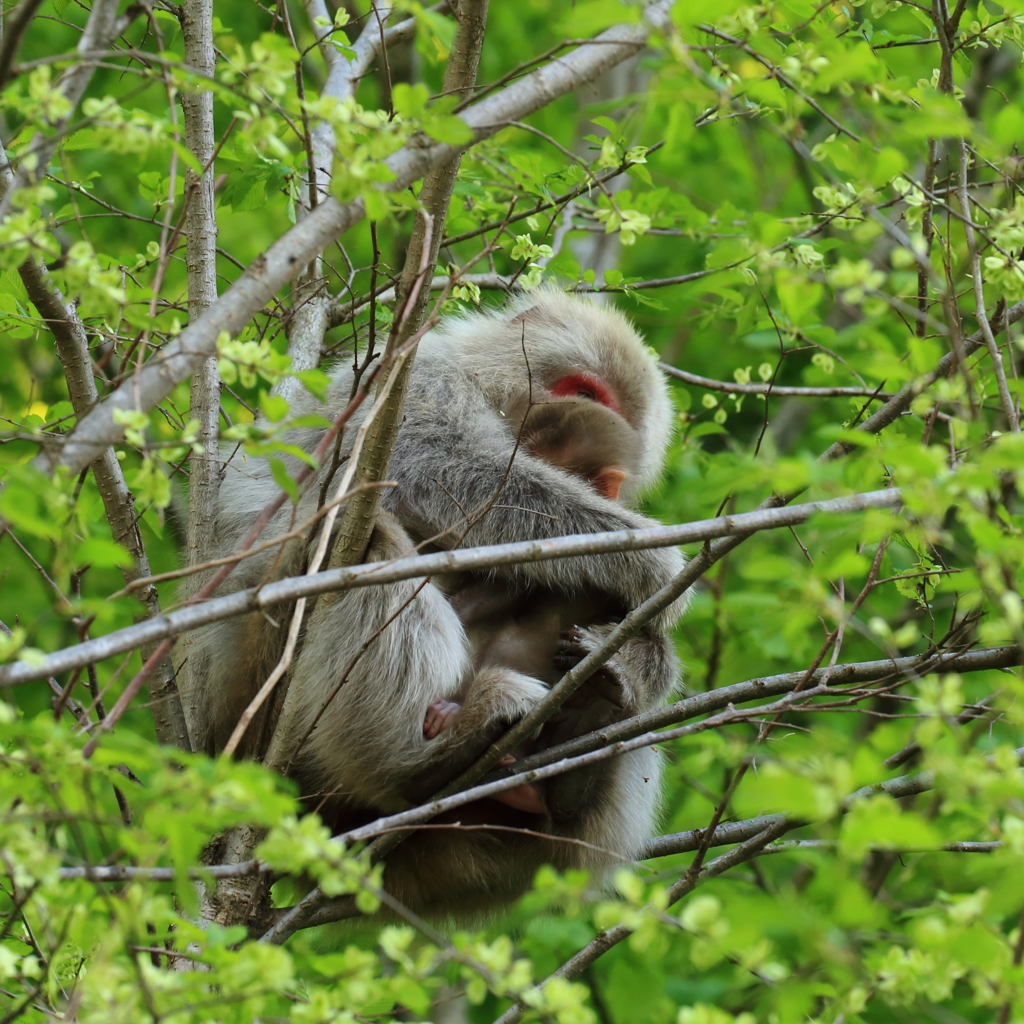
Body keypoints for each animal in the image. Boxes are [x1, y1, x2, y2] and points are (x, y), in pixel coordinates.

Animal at [186, 288, 688, 921]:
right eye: (583, 389)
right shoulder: (416, 376)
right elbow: (424, 464)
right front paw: (644, 555)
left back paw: (588, 732)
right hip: (251, 691)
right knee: (357, 530)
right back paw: (420, 762)